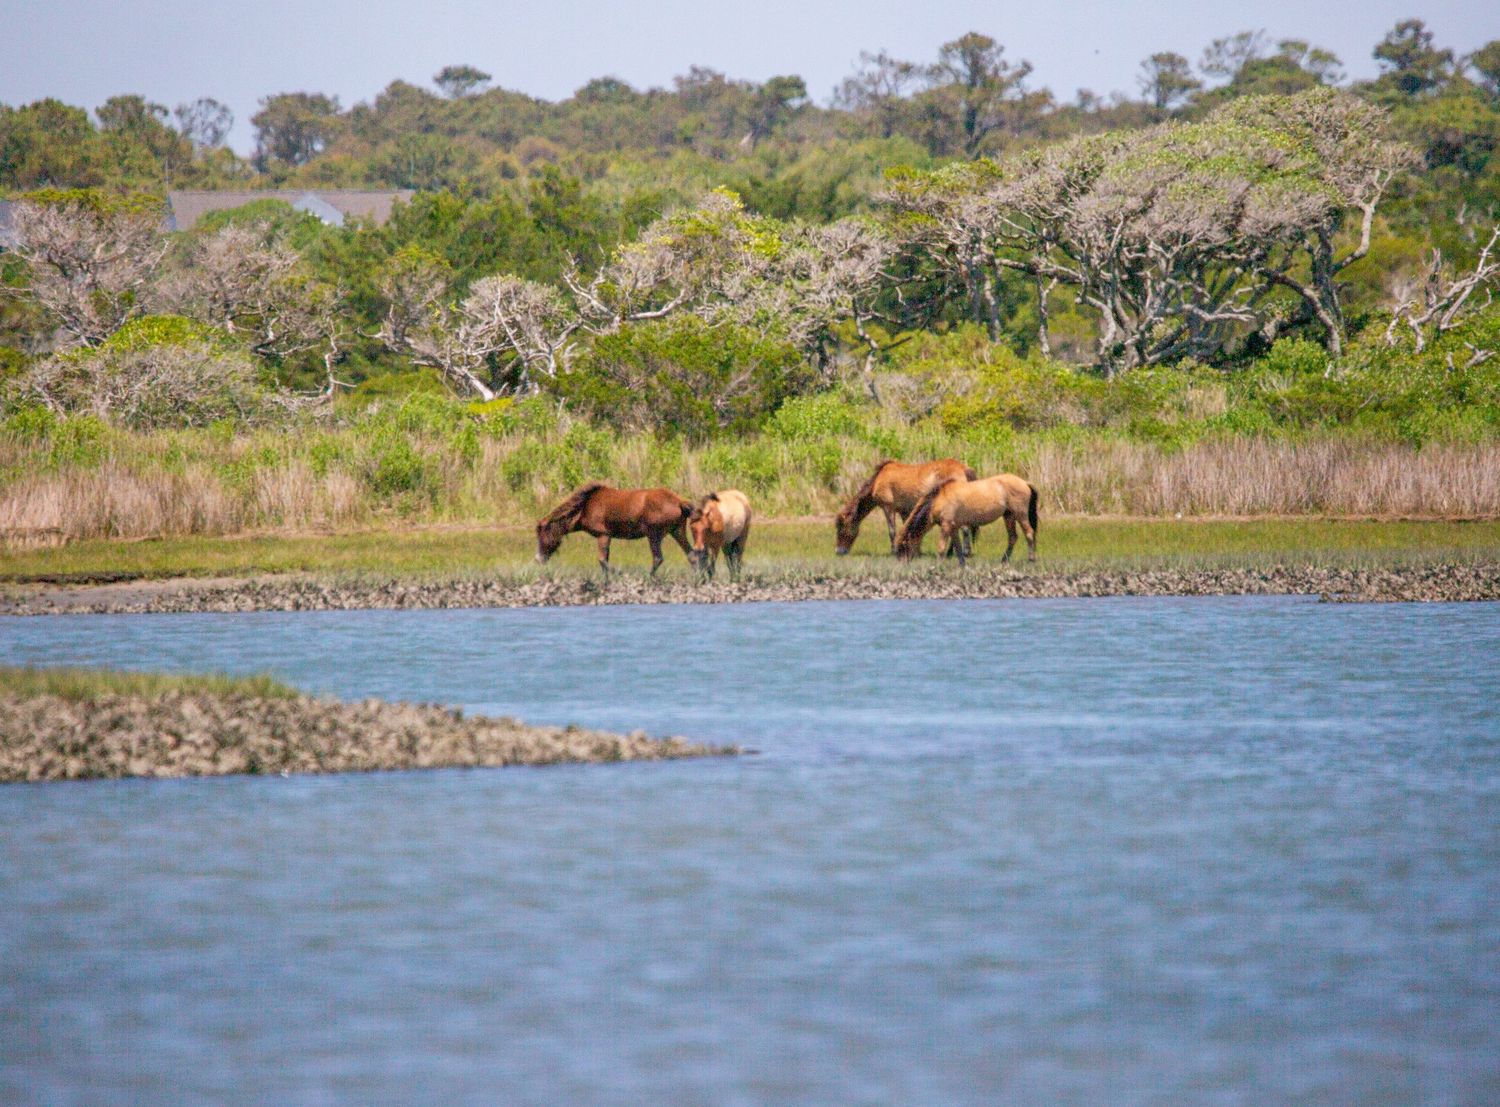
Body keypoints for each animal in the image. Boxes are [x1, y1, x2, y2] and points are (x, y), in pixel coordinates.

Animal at [535, 482, 694, 576]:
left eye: (542, 535)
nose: (538, 559)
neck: (585, 507)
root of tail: (680, 502)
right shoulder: (607, 537)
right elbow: (604, 560)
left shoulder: (603, 535)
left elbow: (602, 560)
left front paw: (618, 573)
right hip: (677, 531)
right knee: (692, 555)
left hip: (654, 535)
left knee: (658, 558)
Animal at [834, 458, 978, 556]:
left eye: (841, 529)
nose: (839, 551)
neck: (878, 479)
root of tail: (963, 468)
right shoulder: (904, 511)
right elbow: (906, 527)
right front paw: (915, 550)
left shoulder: (888, 508)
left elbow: (892, 531)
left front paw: (894, 551)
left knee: (964, 528)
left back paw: (963, 552)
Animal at [895, 474, 1039, 566]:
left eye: (904, 545)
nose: (902, 564)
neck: (939, 499)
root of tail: (1025, 483)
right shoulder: (953, 528)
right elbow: (958, 547)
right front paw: (962, 564)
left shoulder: (946, 526)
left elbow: (941, 547)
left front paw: (938, 565)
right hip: (1008, 516)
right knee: (1013, 537)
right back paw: (1004, 560)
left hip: (1020, 515)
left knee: (1029, 533)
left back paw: (1031, 559)